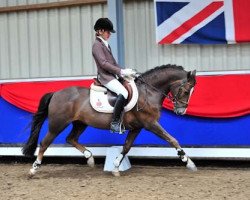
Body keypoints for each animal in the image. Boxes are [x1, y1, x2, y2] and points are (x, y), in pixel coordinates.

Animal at [22, 64, 196, 177]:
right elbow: (172, 139)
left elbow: (126, 147)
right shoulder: (150, 124)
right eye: (186, 91)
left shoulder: (137, 127)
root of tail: (56, 93)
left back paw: (89, 158)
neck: (148, 93)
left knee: (71, 138)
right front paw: (188, 162)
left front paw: (116, 167)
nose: (181, 111)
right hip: (57, 124)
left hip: (80, 123)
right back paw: (33, 169)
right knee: (45, 143)